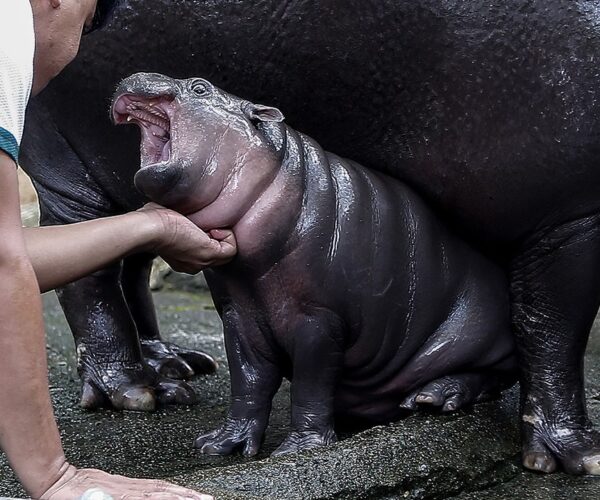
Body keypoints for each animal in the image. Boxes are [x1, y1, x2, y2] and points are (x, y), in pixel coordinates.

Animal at [18, 0, 600, 474]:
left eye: (202, 86)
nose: (137, 72)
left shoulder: (319, 321)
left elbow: (548, 332)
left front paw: (575, 457)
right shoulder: (241, 316)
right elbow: (249, 380)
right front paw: (222, 446)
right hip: (70, 166)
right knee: (91, 271)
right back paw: (142, 391)